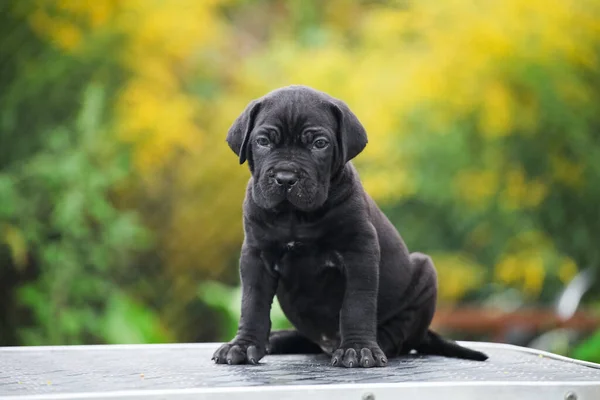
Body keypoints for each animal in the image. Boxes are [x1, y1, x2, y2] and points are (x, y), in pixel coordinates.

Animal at [212, 86, 488, 368]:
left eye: (319, 144)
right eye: (263, 142)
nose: (286, 178)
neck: (295, 217)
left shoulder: (359, 251)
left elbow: (357, 303)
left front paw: (358, 348)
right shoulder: (257, 255)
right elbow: (252, 303)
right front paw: (243, 345)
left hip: (424, 273)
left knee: (401, 334)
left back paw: (375, 343)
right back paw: (277, 339)